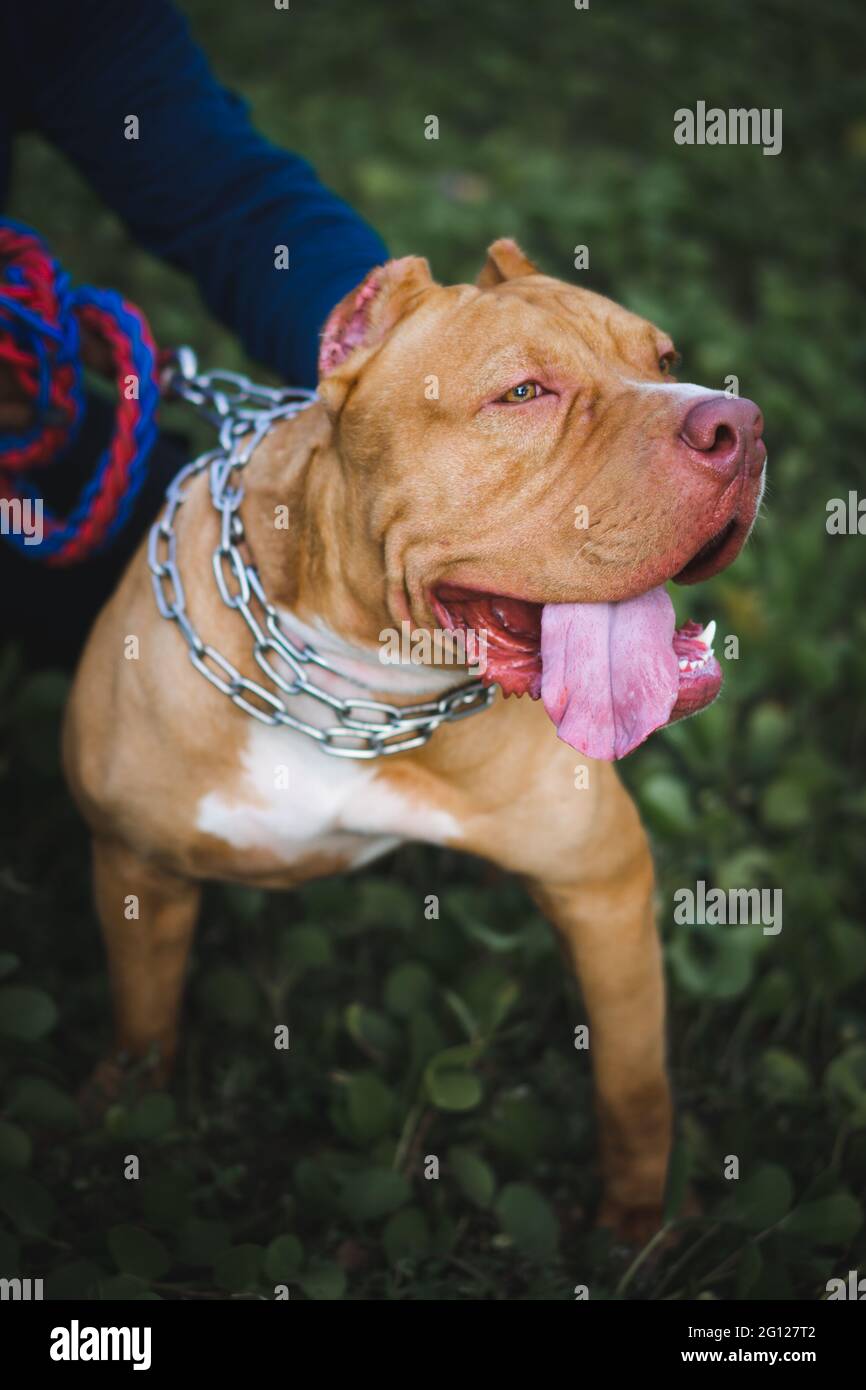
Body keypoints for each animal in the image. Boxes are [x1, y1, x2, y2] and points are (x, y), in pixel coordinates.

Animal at [62, 236, 767, 1239]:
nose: (739, 425)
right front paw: (122, 1114)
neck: (359, 688)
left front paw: (633, 1233)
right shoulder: (137, 870)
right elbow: (143, 1021)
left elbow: (635, 1091)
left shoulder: (602, 885)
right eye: (523, 393)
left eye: (665, 360)